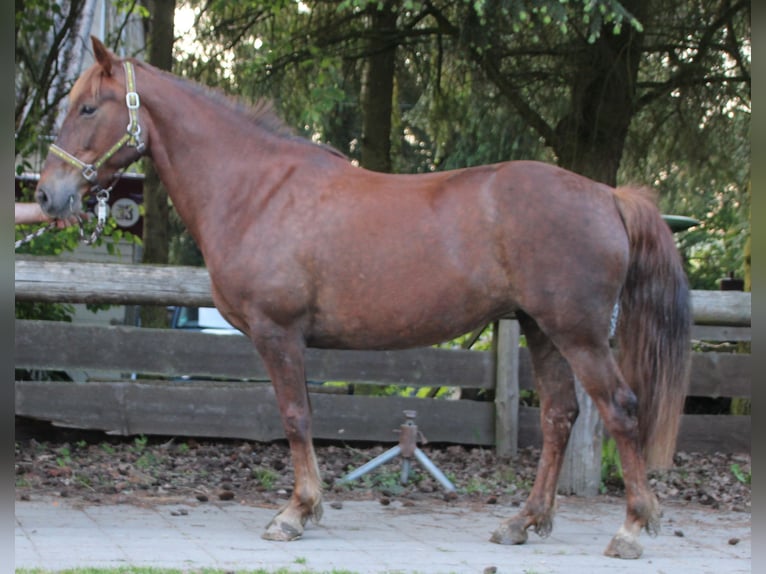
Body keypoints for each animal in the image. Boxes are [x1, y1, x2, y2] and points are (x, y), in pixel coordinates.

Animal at [36, 37, 692, 564]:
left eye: (88, 107)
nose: (47, 194)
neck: (257, 189)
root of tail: (609, 195)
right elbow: (306, 415)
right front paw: (310, 507)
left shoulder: (278, 334)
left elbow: (295, 418)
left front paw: (295, 513)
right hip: (540, 328)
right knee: (560, 416)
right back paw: (523, 522)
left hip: (578, 334)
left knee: (620, 410)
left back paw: (632, 528)